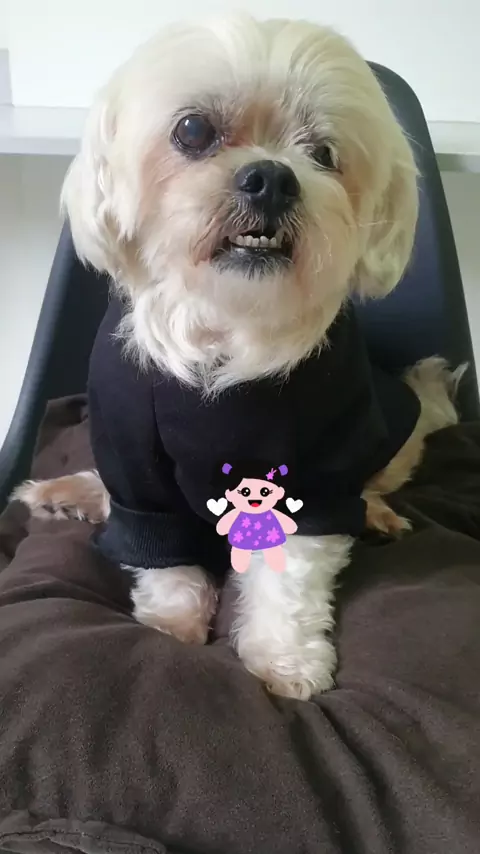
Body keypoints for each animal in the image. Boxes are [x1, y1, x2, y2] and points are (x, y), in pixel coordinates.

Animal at [13, 15, 460, 701]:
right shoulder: (138, 472)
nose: (272, 177)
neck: (226, 323)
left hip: (390, 440)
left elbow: (289, 576)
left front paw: (284, 661)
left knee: (377, 482)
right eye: (193, 130)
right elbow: (162, 556)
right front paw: (171, 627)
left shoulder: (315, 476)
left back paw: (378, 514)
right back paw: (72, 493)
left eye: (323, 153)